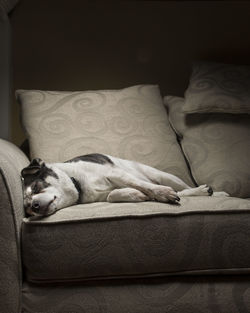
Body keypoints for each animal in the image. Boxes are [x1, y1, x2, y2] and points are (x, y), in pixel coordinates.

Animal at [21, 154, 229, 217]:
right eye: (28, 209)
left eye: (37, 188)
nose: (35, 206)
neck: (76, 180)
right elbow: (112, 195)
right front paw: (136, 195)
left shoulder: (116, 174)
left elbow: (142, 185)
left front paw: (158, 193)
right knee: (182, 191)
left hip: (163, 176)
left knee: (183, 188)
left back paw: (212, 192)